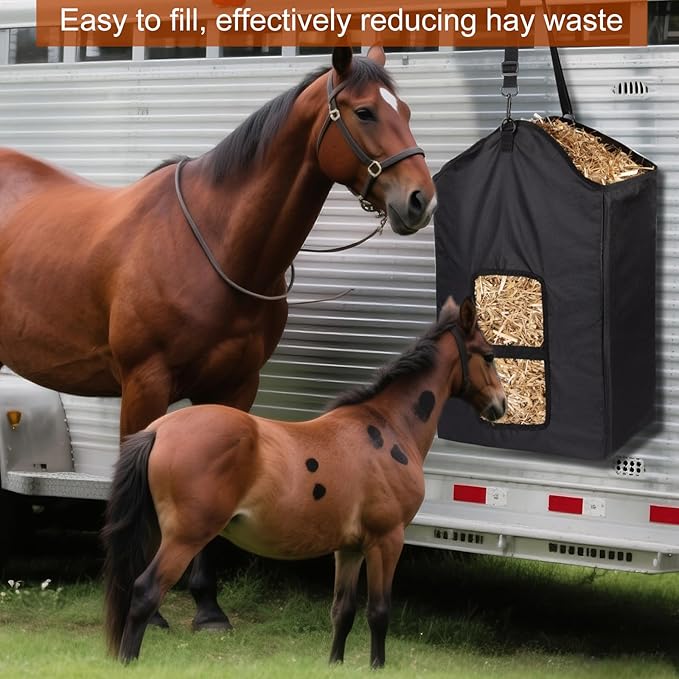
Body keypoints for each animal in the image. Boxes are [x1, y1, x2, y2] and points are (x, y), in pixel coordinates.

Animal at [0, 45, 436, 629]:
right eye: (365, 112)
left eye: (405, 110)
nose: (420, 200)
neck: (215, 242)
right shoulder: (144, 385)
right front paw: (145, 607)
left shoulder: (235, 387)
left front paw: (207, 605)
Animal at [102, 296, 506, 668]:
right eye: (488, 356)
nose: (500, 406)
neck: (387, 426)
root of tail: (158, 430)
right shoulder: (387, 541)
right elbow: (378, 612)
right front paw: (377, 666)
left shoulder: (349, 549)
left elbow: (343, 612)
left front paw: (336, 665)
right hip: (185, 538)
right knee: (145, 591)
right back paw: (129, 660)